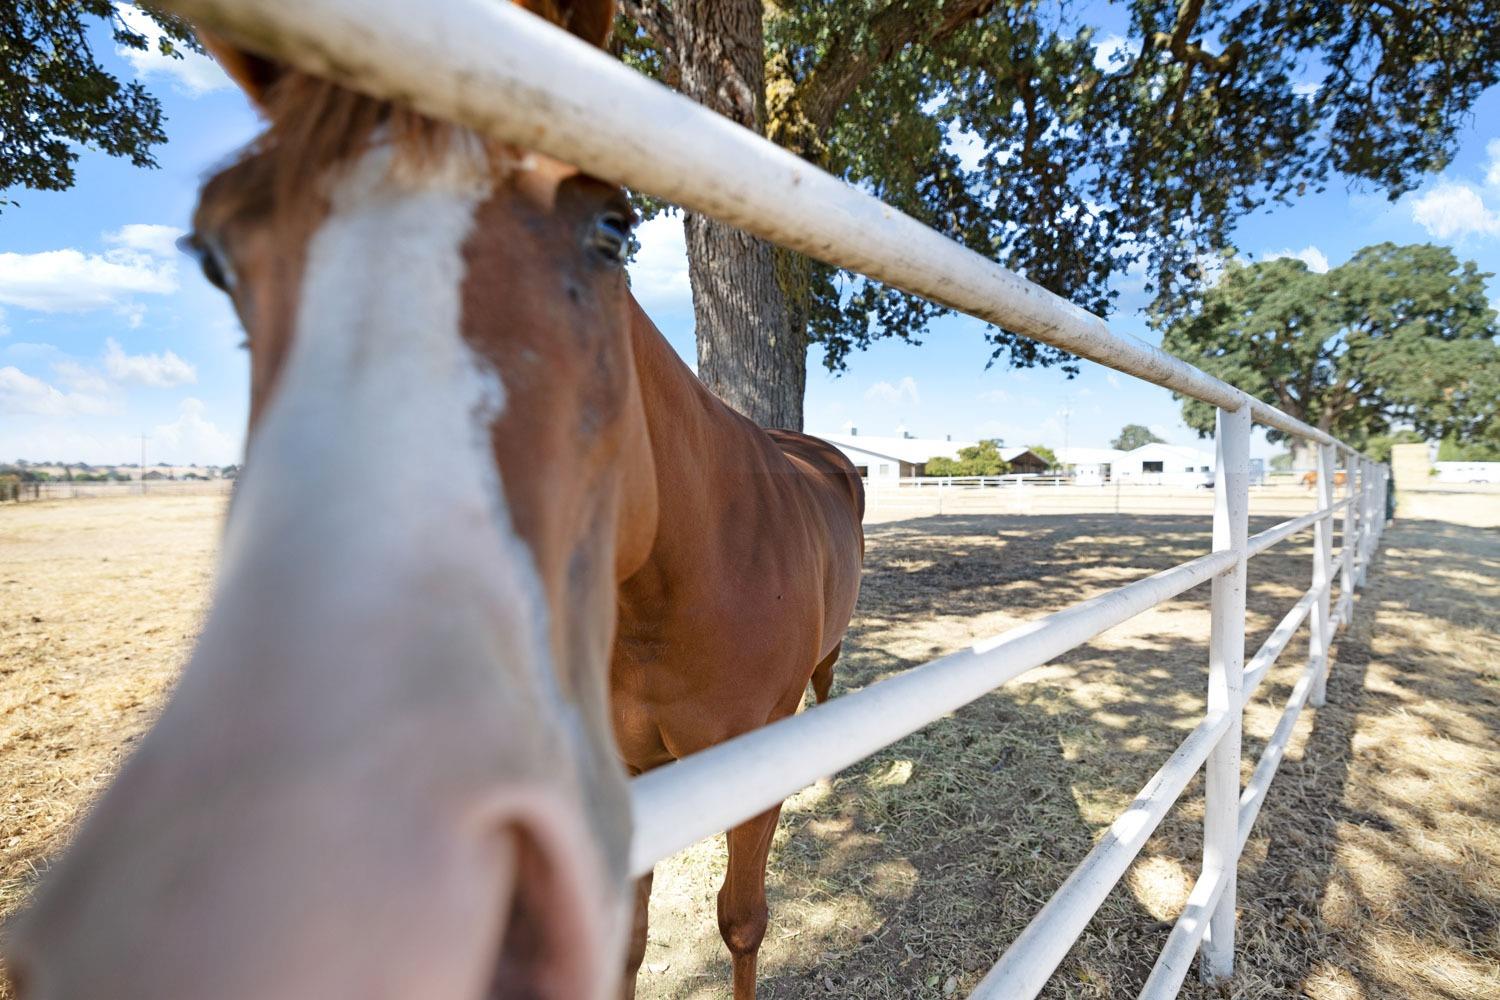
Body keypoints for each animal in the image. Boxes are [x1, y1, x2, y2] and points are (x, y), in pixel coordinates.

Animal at [0, 1, 864, 1000]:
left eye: (613, 227)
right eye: (216, 257)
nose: (397, 899)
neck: (682, 586)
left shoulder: (748, 775)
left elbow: (742, 920)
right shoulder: (628, 778)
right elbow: (627, 942)